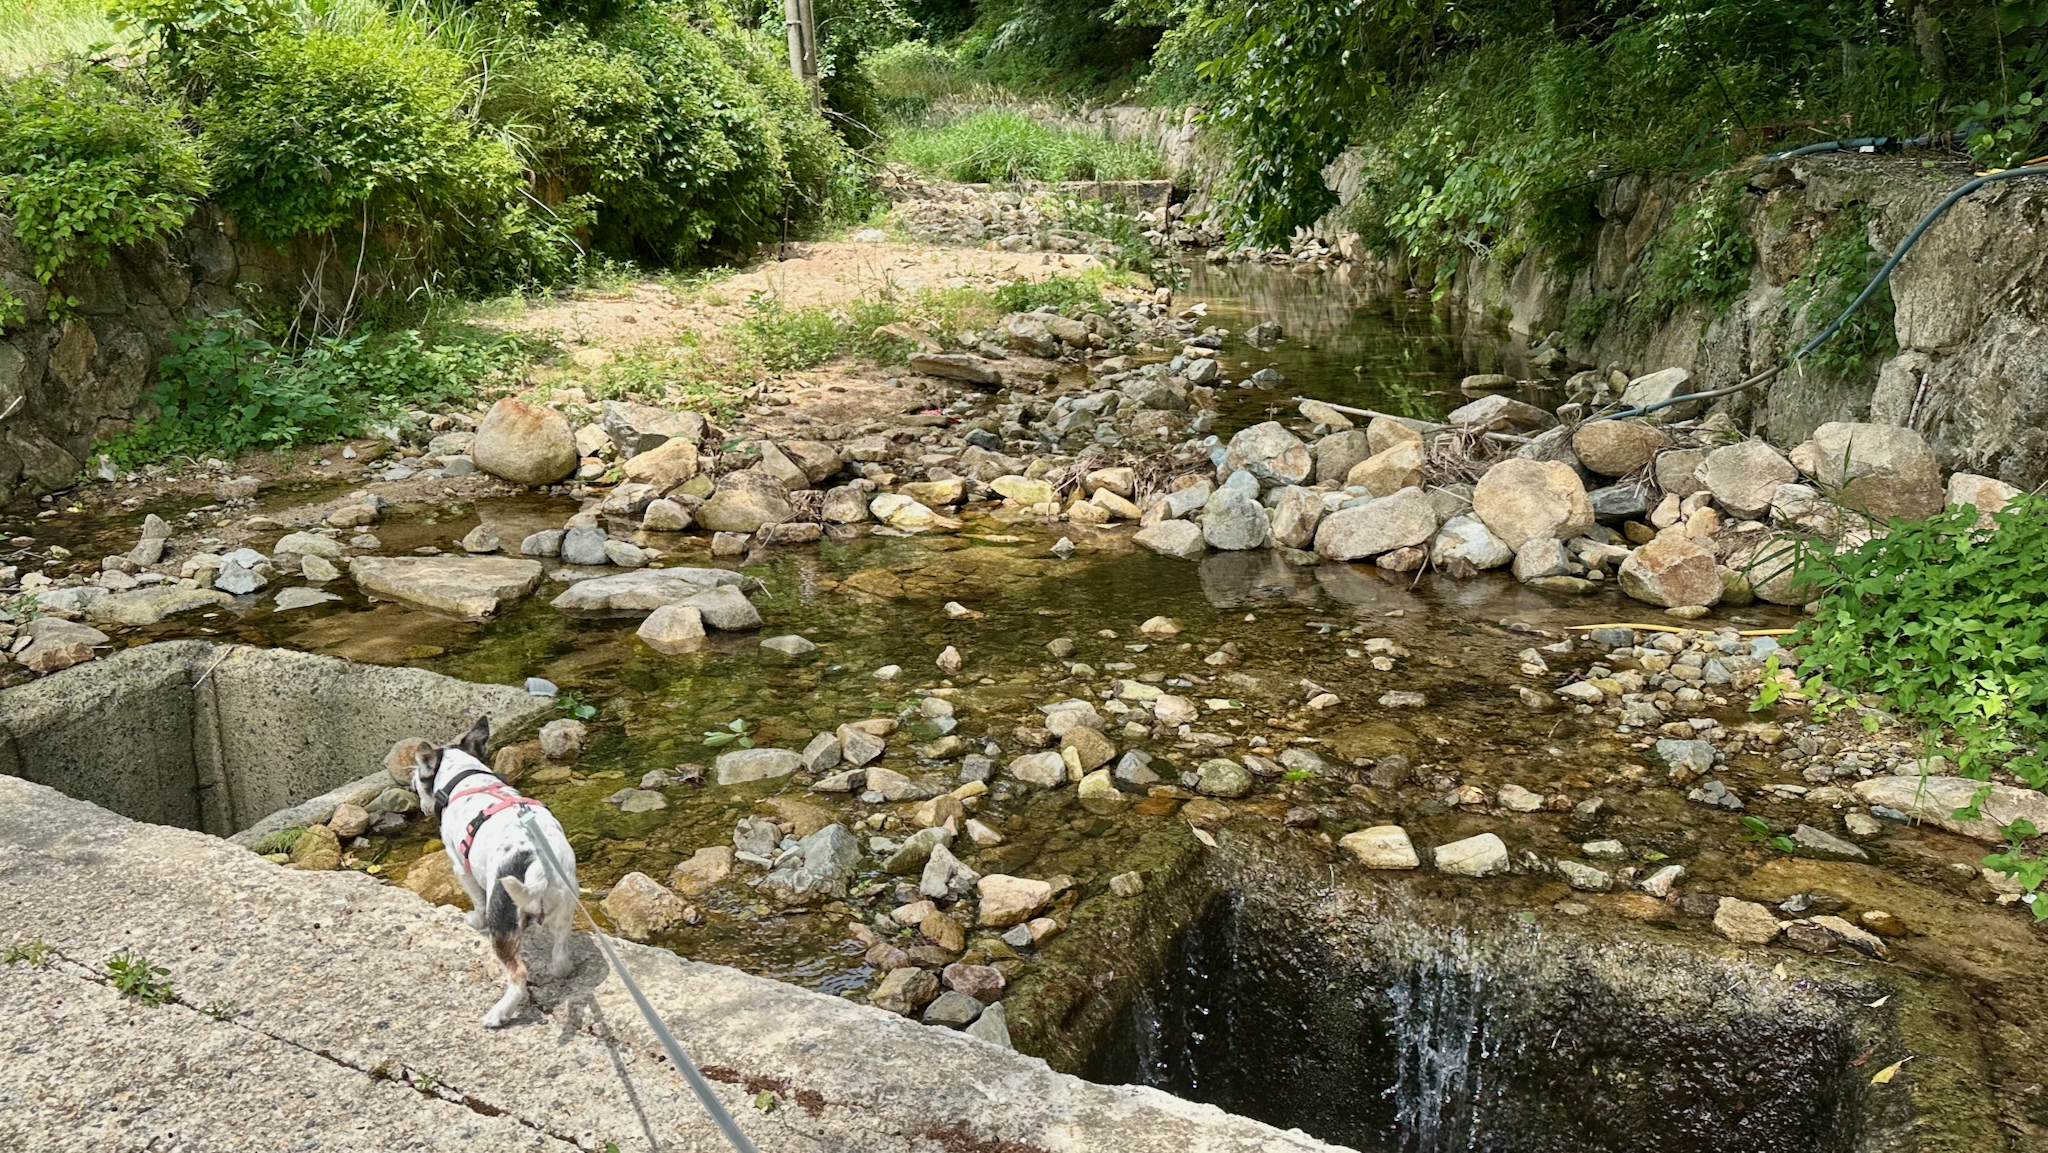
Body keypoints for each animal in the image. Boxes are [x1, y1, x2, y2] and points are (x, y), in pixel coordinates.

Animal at [401, 717, 578, 1028]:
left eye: (419, 780)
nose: (411, 782)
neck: (465, 778)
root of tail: (539, 863)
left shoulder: (460, 867)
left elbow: (476, 902)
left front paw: (474, 920)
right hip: (564, 910)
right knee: (559, 957)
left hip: (503, 919)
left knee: (519, 975)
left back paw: (498, 1014)